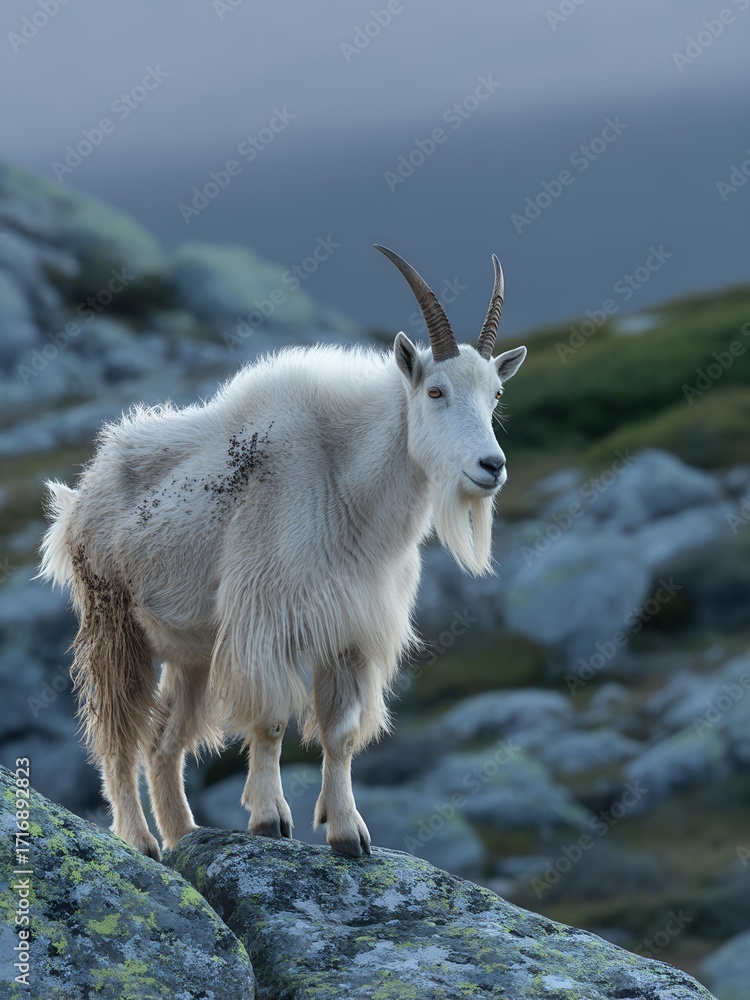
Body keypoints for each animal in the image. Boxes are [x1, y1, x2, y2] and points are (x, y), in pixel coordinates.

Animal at [39, 246, 526, 859]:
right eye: (435, 391)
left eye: (496, 395)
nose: (492, 466)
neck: (345, 488)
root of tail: (78, 498)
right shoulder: (264, 619)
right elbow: (270, 721)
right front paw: (270, 820)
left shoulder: (351, 631)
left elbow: (341, 735)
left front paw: (348, 834)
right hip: (113, 621)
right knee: (118, 734)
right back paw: (142, 842)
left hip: (191, 652)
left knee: (163, 741)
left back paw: (185, 835)